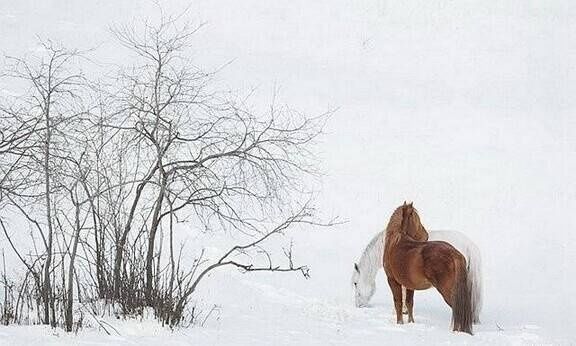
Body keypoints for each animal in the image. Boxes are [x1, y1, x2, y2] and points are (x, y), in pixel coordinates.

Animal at [384, 204, 474, 334]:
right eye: (417, 219)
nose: (426, 235)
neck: (396, 242)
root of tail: (454, 253)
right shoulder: (409, 285)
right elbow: (409, 303)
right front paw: (411, 322)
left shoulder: (392, 280)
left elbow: (398, 303)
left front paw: (400, 323)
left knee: (457, 309)